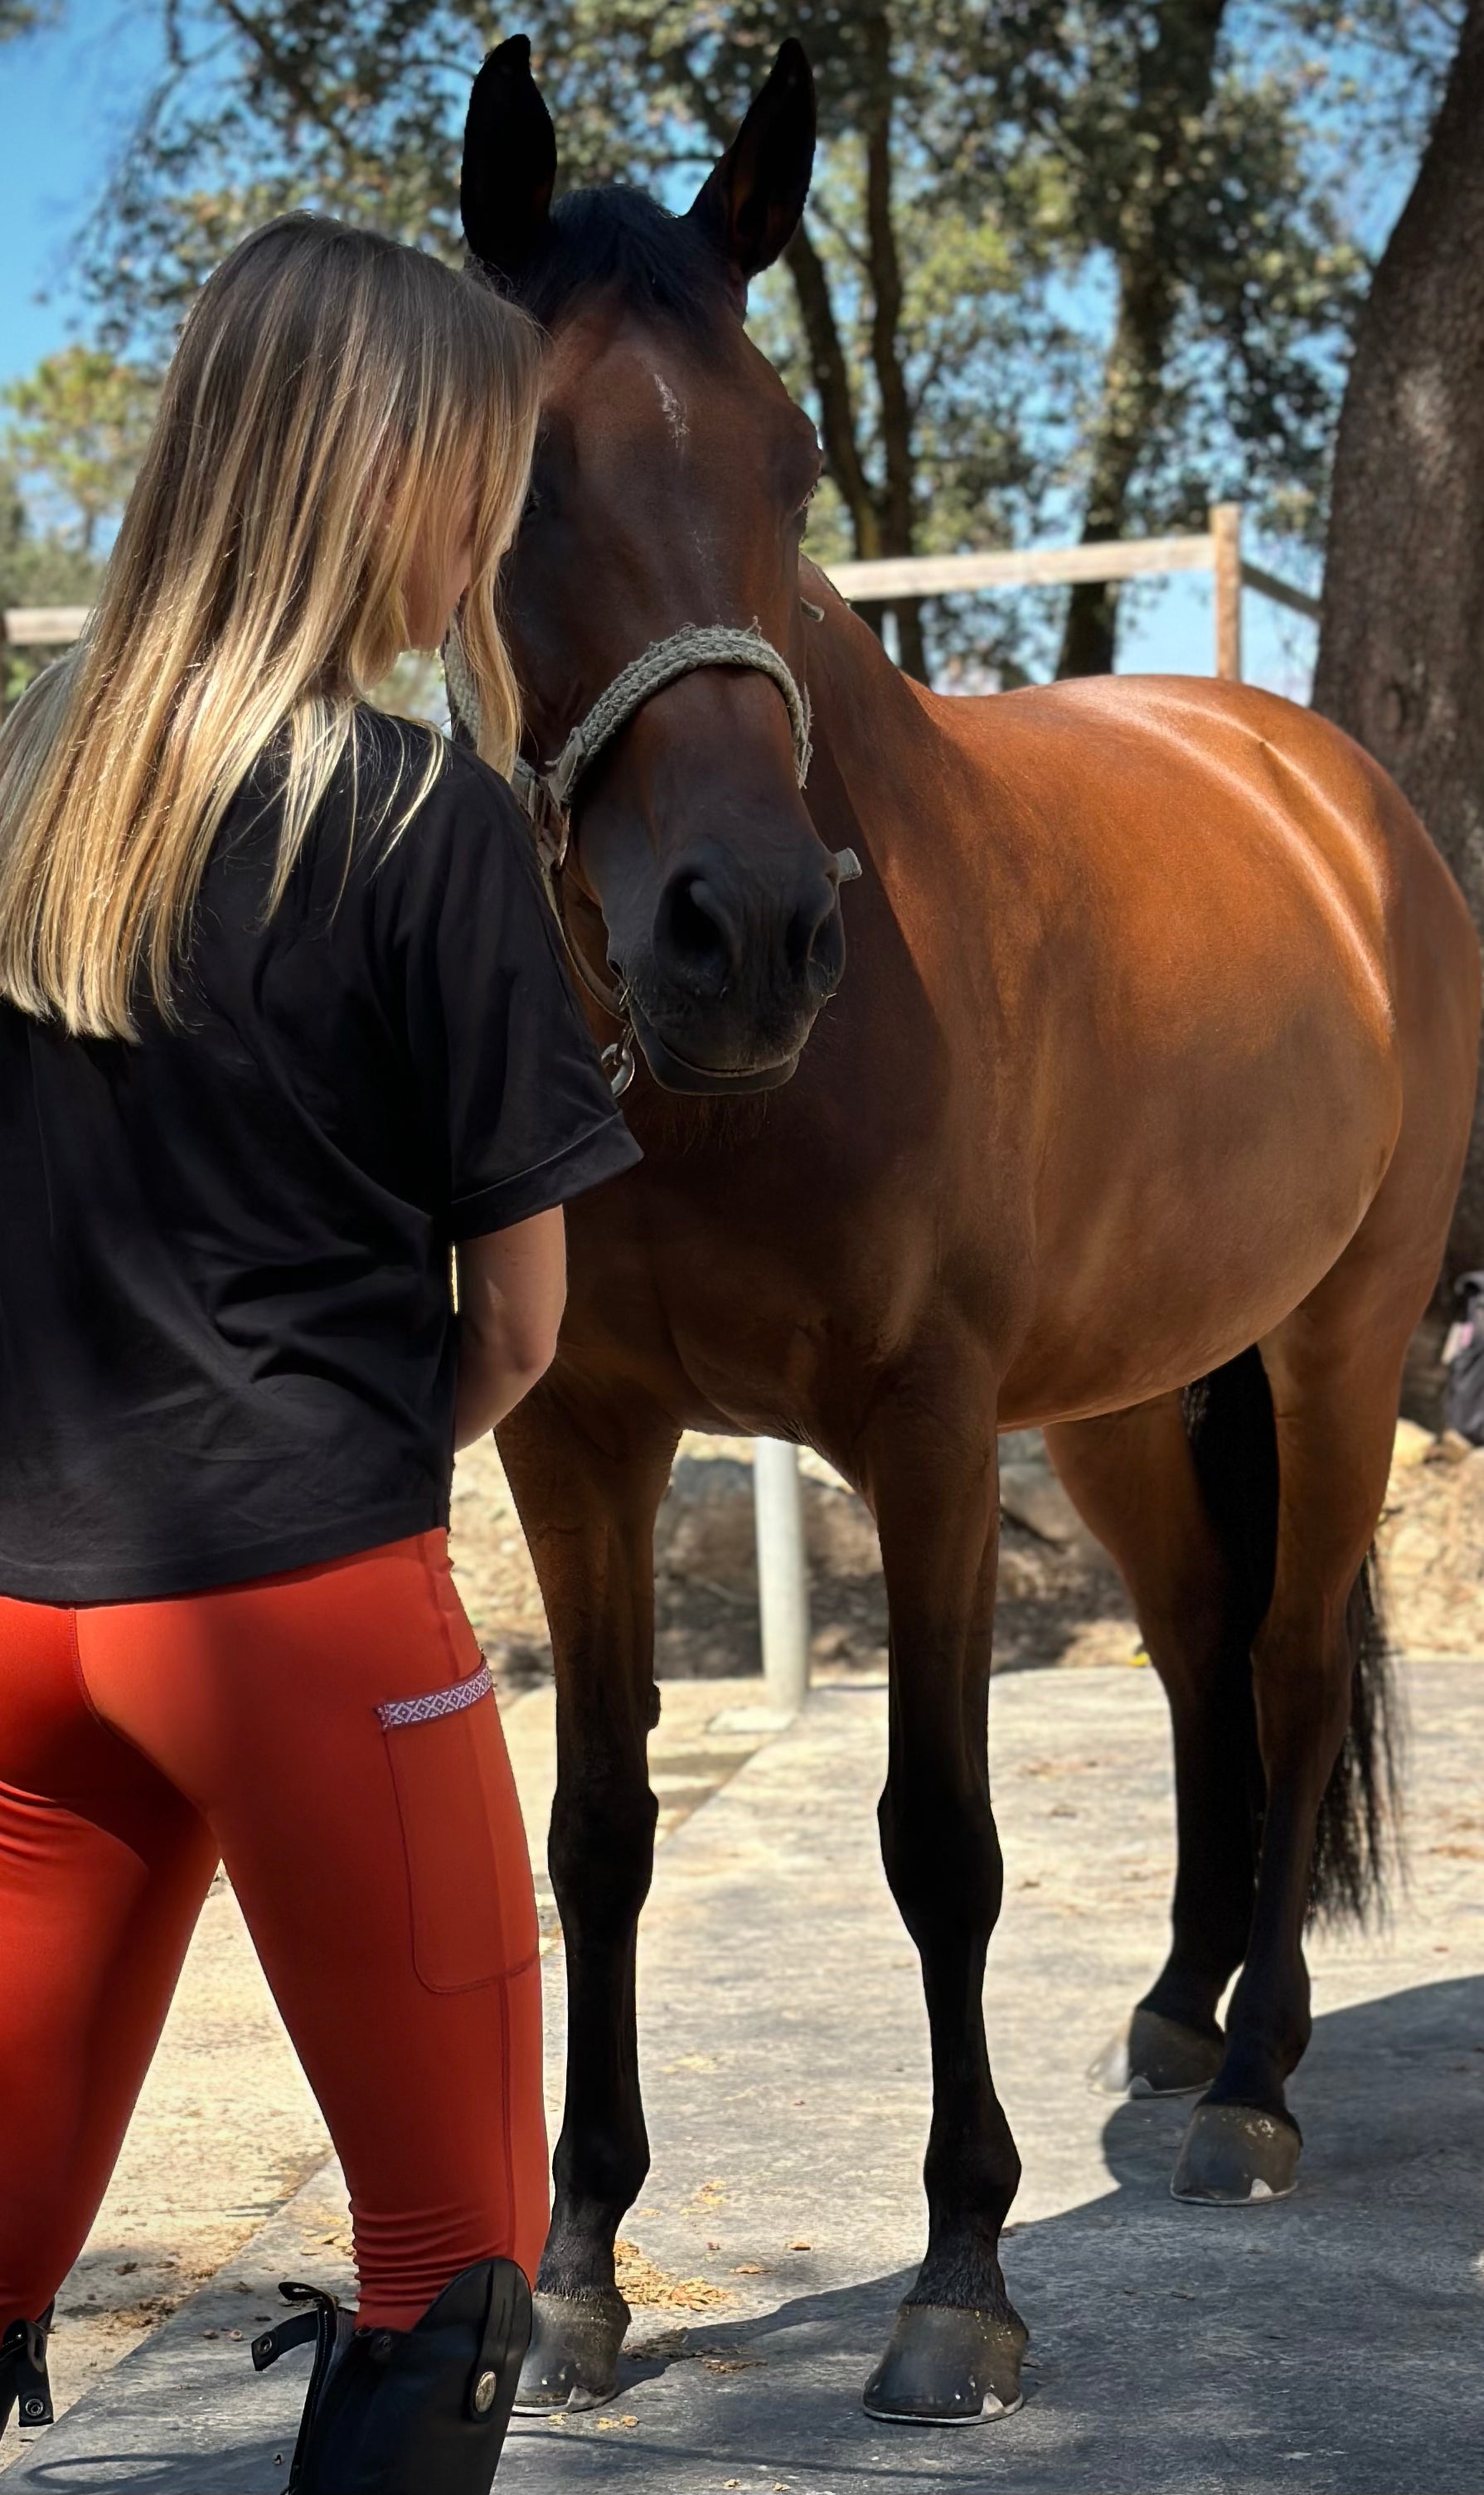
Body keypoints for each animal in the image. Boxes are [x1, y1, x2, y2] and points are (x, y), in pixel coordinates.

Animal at [458, 29, 1476, 2425]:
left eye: (789, 459)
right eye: (525, 473)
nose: (744, 935)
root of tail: (1324, 793)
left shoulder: (919, 1435)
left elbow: (936, 1840)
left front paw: (955, 2280)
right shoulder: (579, 1441)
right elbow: (597, 1833)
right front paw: (577, 2270)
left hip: (1338, 1340)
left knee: (1281, 1666)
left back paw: (1250, 2083)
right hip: (1118, 1398)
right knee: (1194, 1650)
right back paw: (1181, 2012)